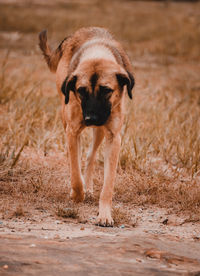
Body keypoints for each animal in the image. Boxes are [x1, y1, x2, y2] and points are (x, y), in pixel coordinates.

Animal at [38, 27, 135, 226]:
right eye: (81, 91)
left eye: (107, 90)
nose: (90, 118)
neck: (97, 53)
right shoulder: (73, 130)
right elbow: (75, 173)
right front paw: (77, 194)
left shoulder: (113, 137)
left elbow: (108, 185)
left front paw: (104, 214)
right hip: (66, 121)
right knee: (74, 156)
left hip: (100, 132)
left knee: (90, 155)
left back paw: (88, 187)